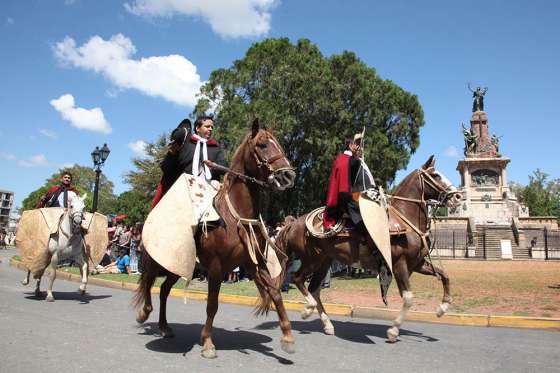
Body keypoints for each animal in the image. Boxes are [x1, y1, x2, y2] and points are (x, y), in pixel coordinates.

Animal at [133, 119, 298, 358]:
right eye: (263, 145)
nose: (288, 176)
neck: (237, 216)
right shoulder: (217, 268)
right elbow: (212, 304)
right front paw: (208, 343)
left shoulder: (253, 264)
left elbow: (275, 293)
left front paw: (287, 337)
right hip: (162, 260)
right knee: (148, 282)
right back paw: (144, 313)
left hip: (181, 265)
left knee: (163, 290)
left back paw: (164, 327)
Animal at [274, 155, 462, 342]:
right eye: (436, 175)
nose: (458, 196)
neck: (404, 221)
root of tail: (294, 223)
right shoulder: (399, 264)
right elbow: (408, 298)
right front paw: (393, 330)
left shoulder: (417, 264)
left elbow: (444, 275)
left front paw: (442, 308)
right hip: (311, 259)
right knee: (298, 279)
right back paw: (308, 310)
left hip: (324, 262)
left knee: (314, 289)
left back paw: (328, 325)